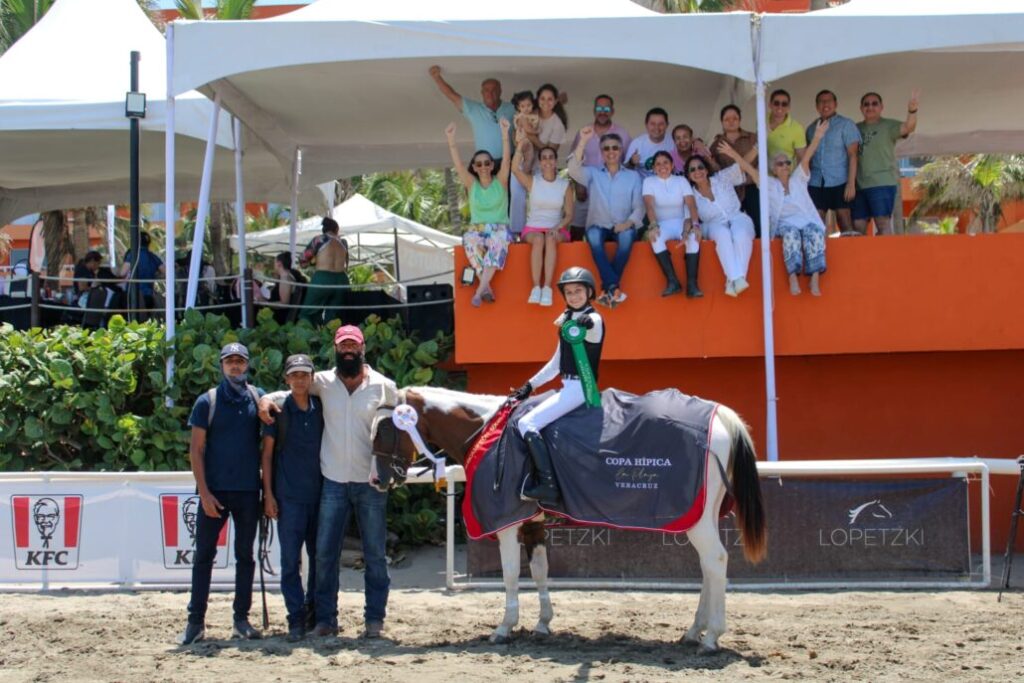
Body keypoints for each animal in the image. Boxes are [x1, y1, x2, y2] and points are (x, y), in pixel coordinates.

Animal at [372, 385, 765, 651]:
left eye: (385, 429)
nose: (377, 479)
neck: (488, 430)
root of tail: (720, 416)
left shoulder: (507, 524)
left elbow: (511, 574)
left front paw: (505, 627)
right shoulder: (533, 523)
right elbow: (540, 570)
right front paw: (542, 623)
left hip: (697, 520)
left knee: (715, 561)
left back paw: (711, 636)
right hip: (699, 516)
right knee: (707, 567)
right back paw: (694, 631)